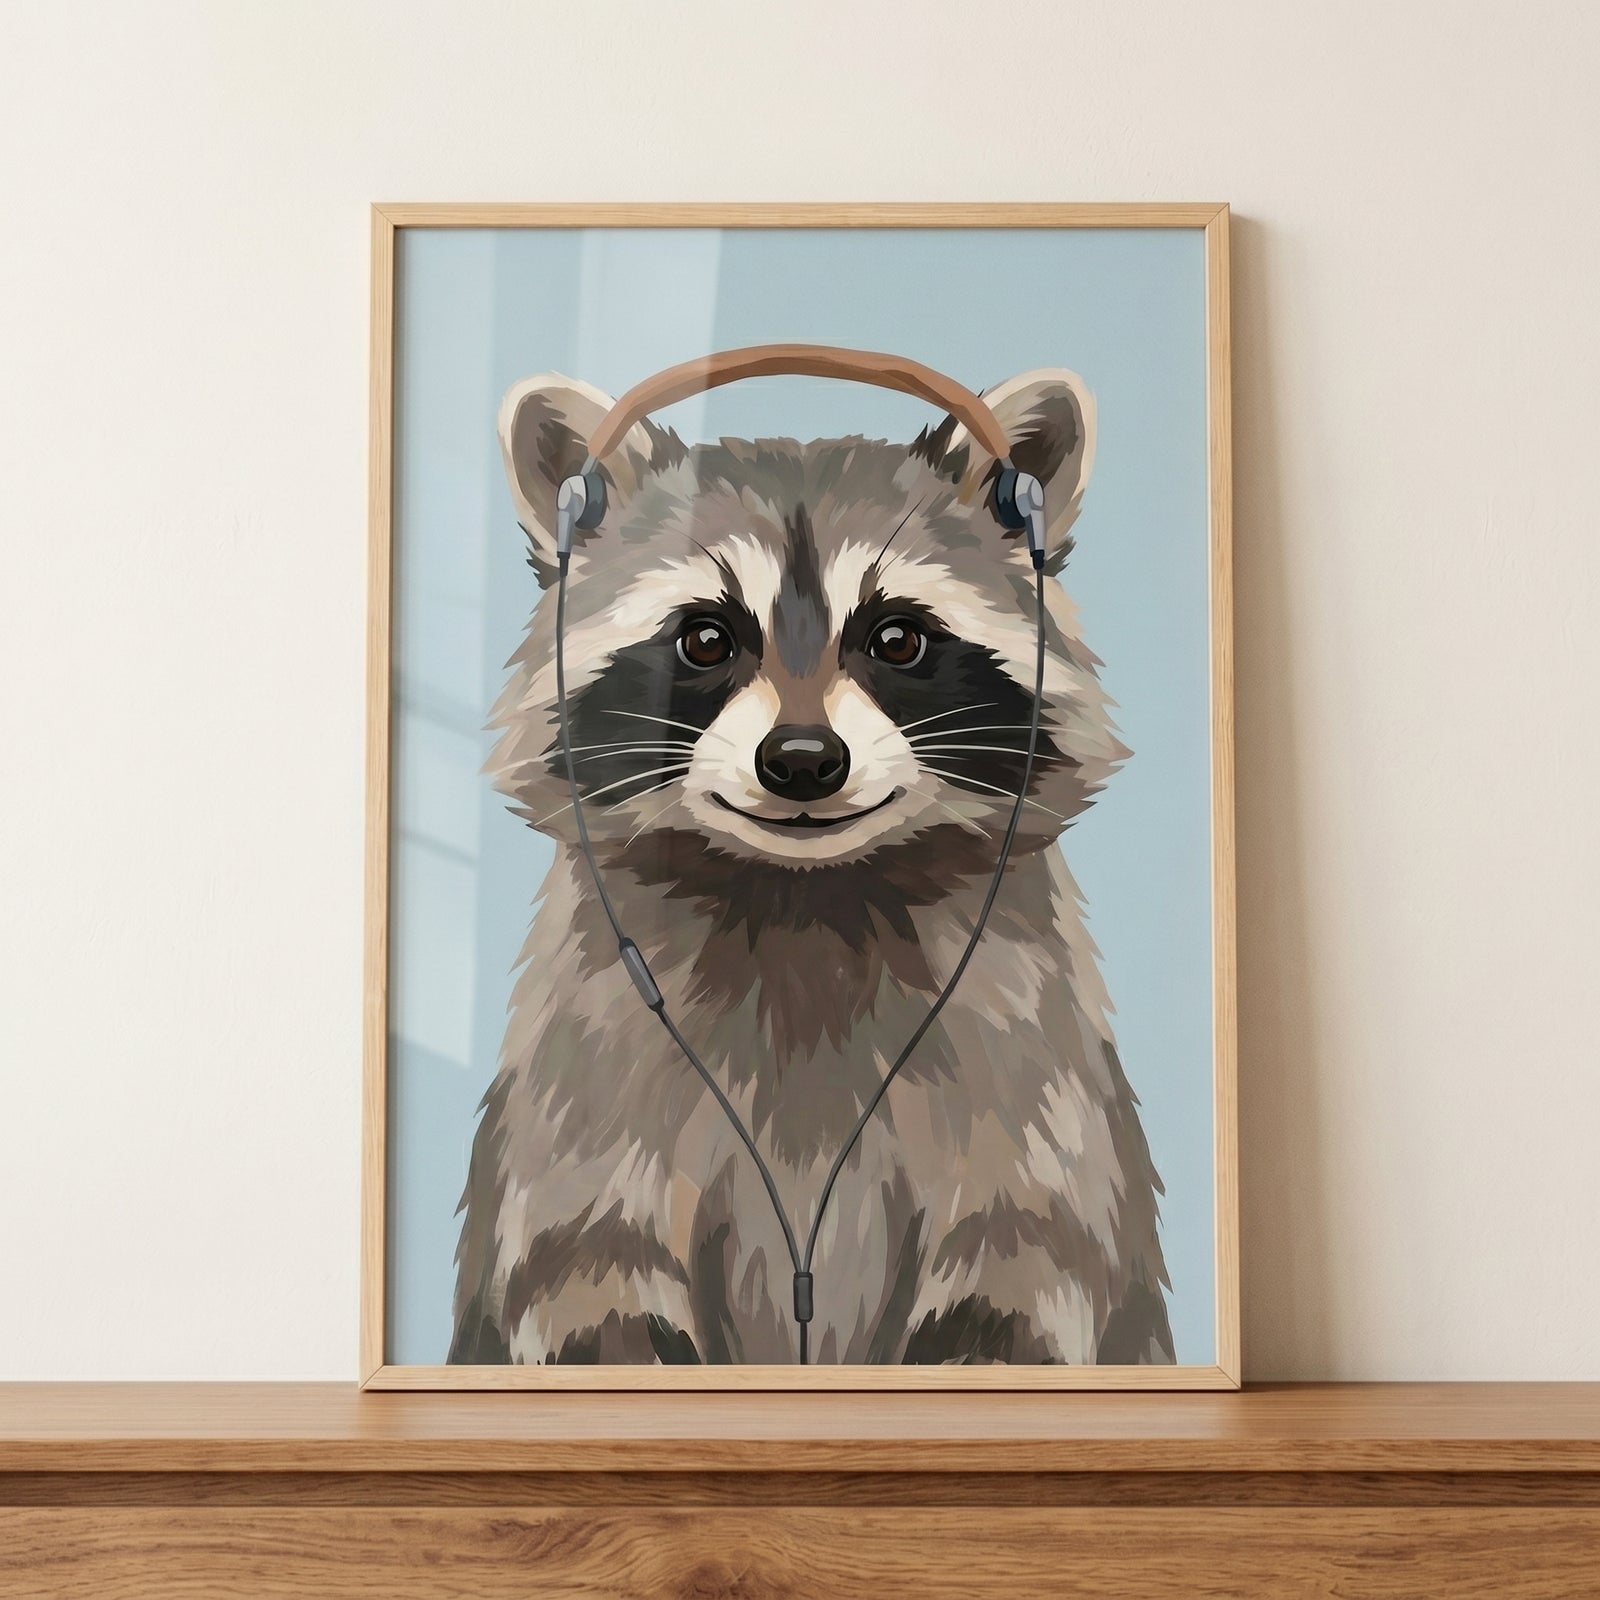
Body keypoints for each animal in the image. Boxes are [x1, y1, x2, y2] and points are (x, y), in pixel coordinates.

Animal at [448, 366, 1173, 1366]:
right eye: (706, 639)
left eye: (897, 639)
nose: (800, 760)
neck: (804, 899)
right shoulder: (586, 1072)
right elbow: (589, 1279)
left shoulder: (1030, 1059)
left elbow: (1024, 1266)